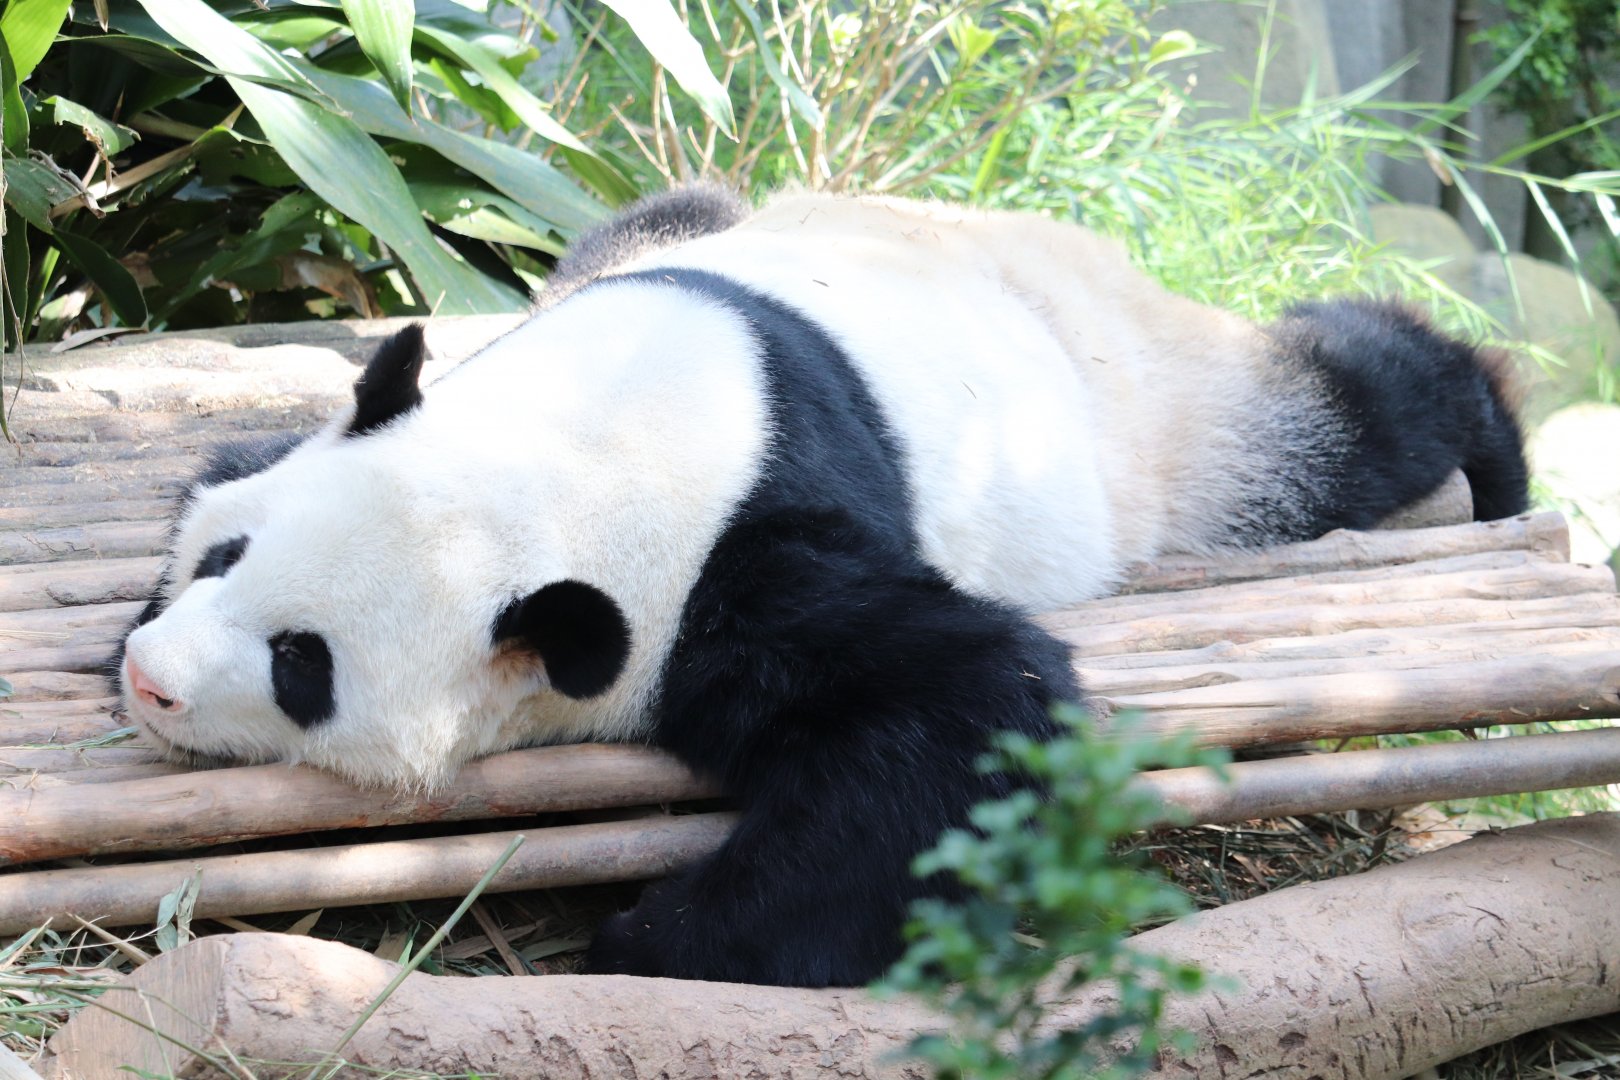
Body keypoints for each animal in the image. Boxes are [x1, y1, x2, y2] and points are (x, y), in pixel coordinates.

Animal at [115, 186, 1528, 988]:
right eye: (229, 561)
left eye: (304, 663)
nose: (148, 681)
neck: (588, 440)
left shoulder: (735, 569)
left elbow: (962, 712)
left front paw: (656, 943)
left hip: (1154, 419)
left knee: (1338, 422)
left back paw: (1490, 446)